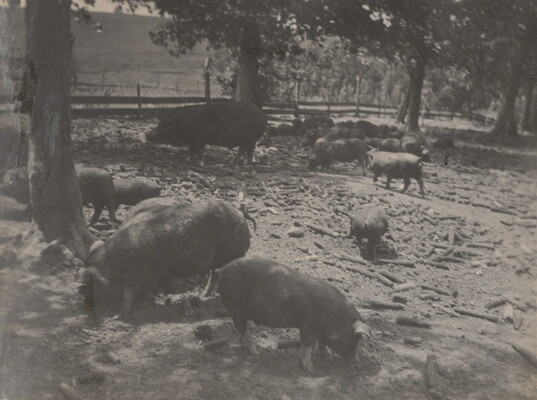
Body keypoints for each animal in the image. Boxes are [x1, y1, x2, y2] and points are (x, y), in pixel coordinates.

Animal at [78, 200, 251, 319]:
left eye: (92, 284)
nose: (84, 303)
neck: (112, 264)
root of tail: (241, 217)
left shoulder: (138, 275)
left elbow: (128, 294)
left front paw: (117, 316)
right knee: (215, 274)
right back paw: (204, 295)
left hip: (234, 253)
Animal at [217, 257, 372, 374]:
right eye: (354, 340)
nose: (357, 364)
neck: (334, 316)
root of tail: (222, 270)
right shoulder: (308, 325)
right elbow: (308, 346)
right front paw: (312, 370)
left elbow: (321, 342)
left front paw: (327, 355)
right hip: (236, 306)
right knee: (242, 328)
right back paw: (255, 352)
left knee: (239, 329)